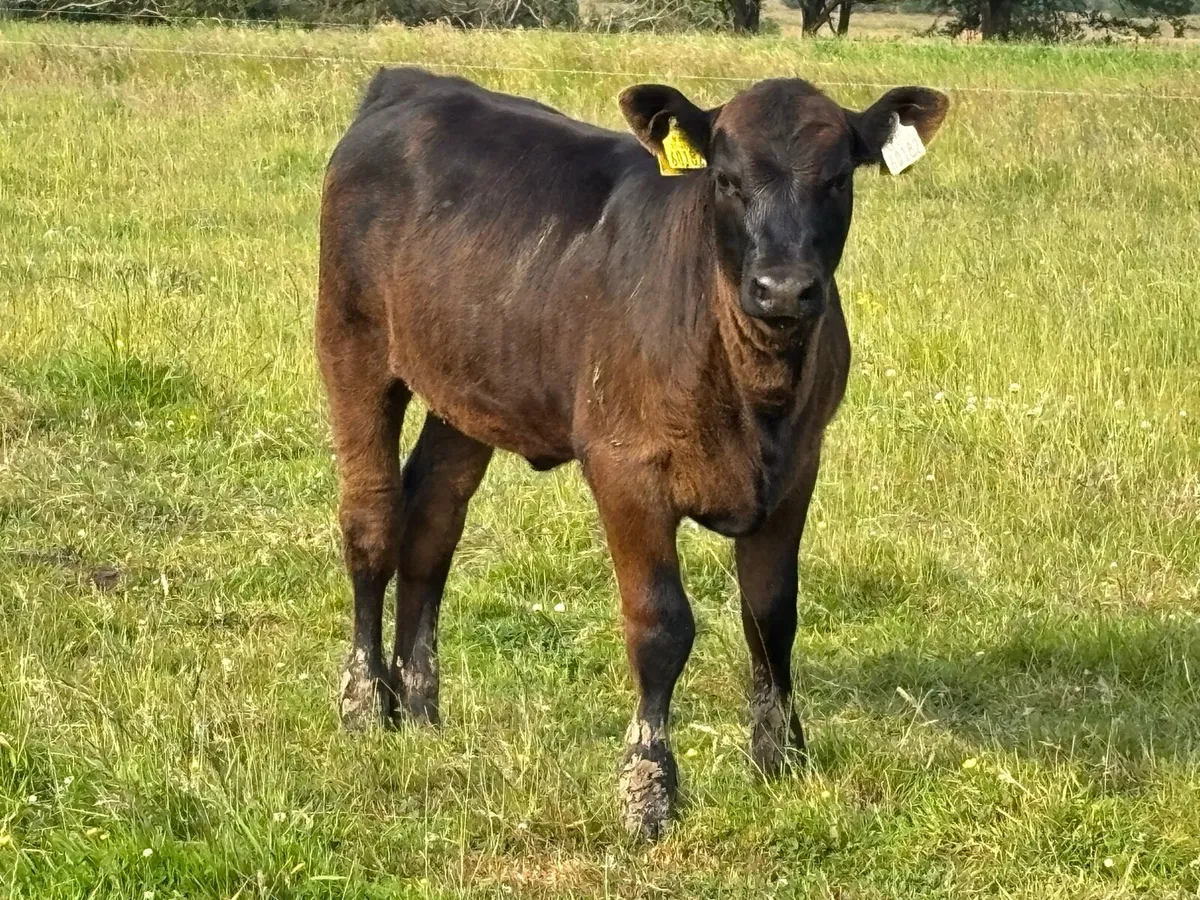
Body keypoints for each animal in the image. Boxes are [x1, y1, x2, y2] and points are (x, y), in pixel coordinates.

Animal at [317, 66, 948, 839]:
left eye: (837, 180)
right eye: (726, 180)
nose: (783, 288)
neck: (755, 389)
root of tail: (408, 83)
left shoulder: (798, 467)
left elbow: (772, 615)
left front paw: (781, 760)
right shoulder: (625, 468)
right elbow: (660, 624)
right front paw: (648, 786)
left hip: (466, 388)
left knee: (431, 523)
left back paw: (420, 709)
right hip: (351, 342)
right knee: (372, 521)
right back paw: (363, 701)